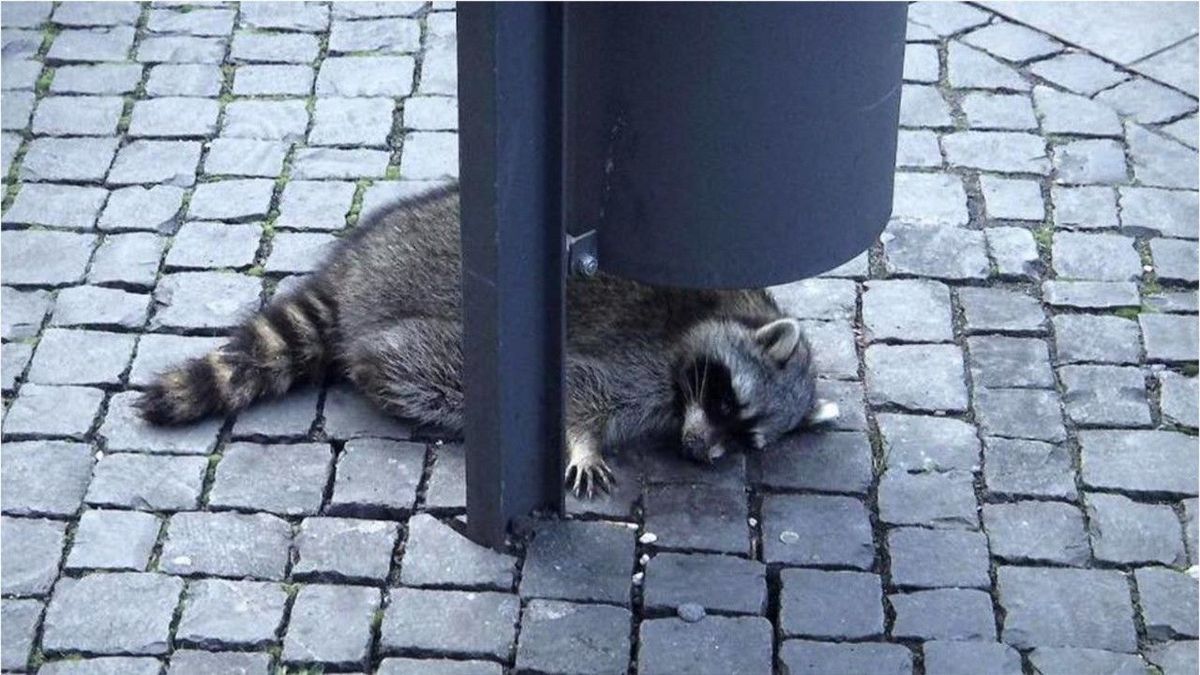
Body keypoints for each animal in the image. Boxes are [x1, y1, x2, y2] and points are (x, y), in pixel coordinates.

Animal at [138, 182, 835, 494]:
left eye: (745, 436)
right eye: (725, 400)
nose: (698, 452)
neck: (731, 310)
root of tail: (356, 268)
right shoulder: (642, 358)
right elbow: (580, 391)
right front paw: (581, 443)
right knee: (423, 366)